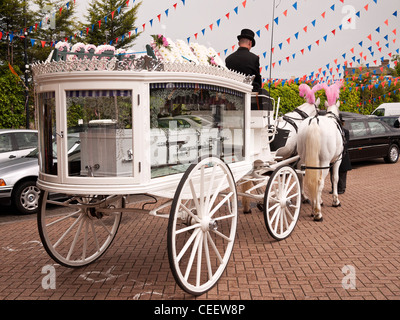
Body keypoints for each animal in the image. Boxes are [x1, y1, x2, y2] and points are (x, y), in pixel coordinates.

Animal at [296, 82, 344, 221]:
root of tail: (314, 122)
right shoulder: (337, 160)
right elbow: (335, 178)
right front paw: (335, 201)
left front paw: (320, 200)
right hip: (324, 162)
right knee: (319, 182)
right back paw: (317, 212)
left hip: (306, 159)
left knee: (309, 179)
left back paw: (314, 207)